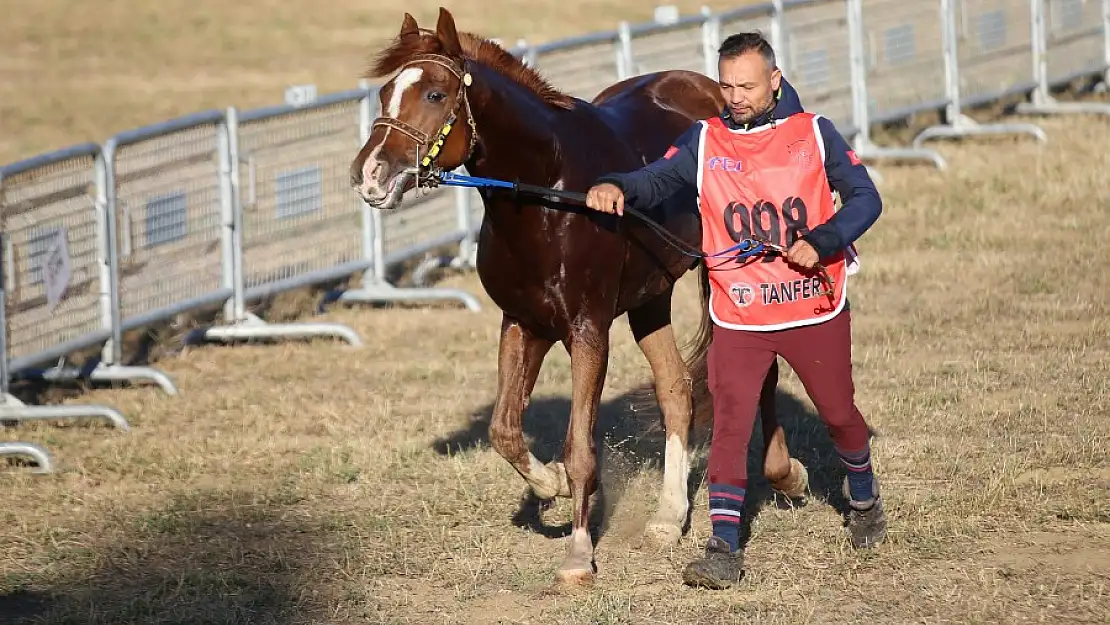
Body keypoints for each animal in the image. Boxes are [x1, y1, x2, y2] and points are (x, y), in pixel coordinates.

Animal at [346, 7, 808, 586]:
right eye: (386, 91)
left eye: (434, 93)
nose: (370, 175)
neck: (550, 193)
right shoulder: (523, 323)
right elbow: (505, 430)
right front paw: (556, 484)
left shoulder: (587, 330)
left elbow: (580, 446)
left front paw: (579, 553)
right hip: (650, 298)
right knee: (675, 389)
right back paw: (668, 516)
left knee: (759, 374)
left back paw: (785, 473)